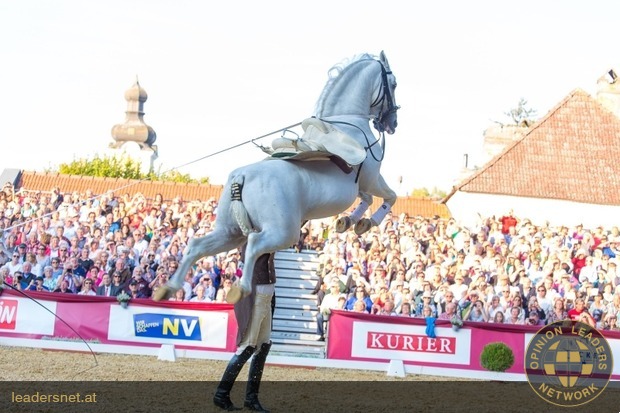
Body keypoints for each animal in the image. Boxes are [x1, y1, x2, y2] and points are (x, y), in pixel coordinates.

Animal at [153, 52, 400, 302]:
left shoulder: (363, 185)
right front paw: (365, 222)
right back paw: (239, 289)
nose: (392, 124)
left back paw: (167, 288)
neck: (349, 123)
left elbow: (369, 198)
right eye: (394, 83)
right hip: (282, 232)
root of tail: (241, 177)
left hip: (229, 232)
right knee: (254, 244)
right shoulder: (370, 179)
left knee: (197, 246)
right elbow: (389, 196)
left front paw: (349, 222)